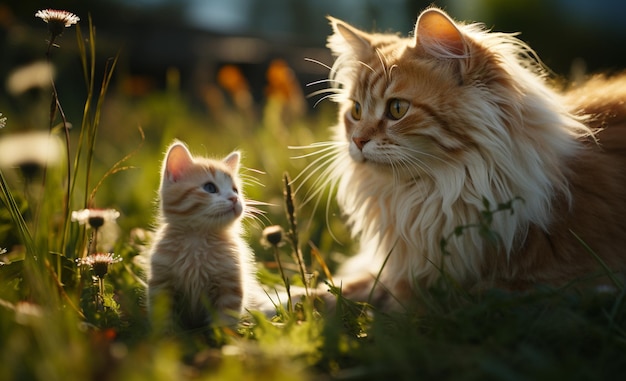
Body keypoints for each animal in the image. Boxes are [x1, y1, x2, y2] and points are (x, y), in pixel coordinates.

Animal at [146, 141, 264, 328]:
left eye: (235, 190)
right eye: (210, 188)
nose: (234, 199)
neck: (199, 238)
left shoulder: (229, 286)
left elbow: (225, 321)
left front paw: (222, 335)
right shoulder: (161, 283)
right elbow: (163, 318)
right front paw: (165, 334)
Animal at [304, 6, 624, 308]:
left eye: (397, 109)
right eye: (356, 112)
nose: (357, 141)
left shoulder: (528, 284)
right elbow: (344, 289)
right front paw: (296, 304)